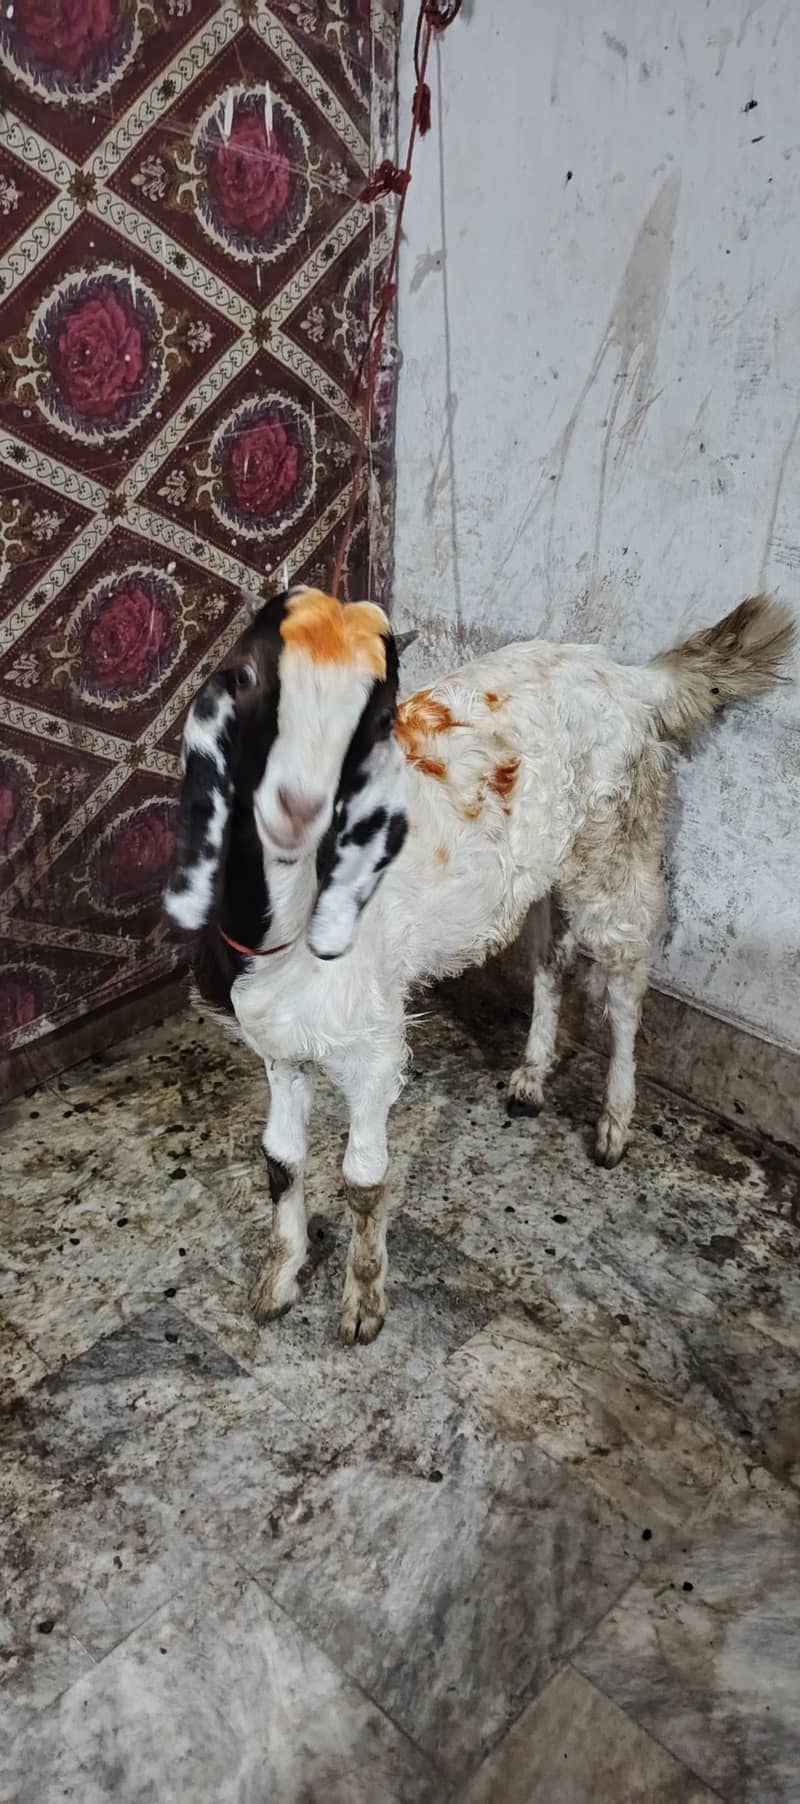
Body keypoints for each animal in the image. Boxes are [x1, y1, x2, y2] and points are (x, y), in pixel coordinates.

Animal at [164, 586, 795, 1344]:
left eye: (373, 717)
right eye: (251, 683)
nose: (297, 807)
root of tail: (628, 676)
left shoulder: (372, 1042)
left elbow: (363, 1176)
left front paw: (363, 1305)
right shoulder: (280, 1044)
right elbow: (281, 1161)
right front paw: (278, 1283)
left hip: (615, 848)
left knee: (623, 982)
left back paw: (614, 1123)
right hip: (545, 872)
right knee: (550, 961)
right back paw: (530, 1076)